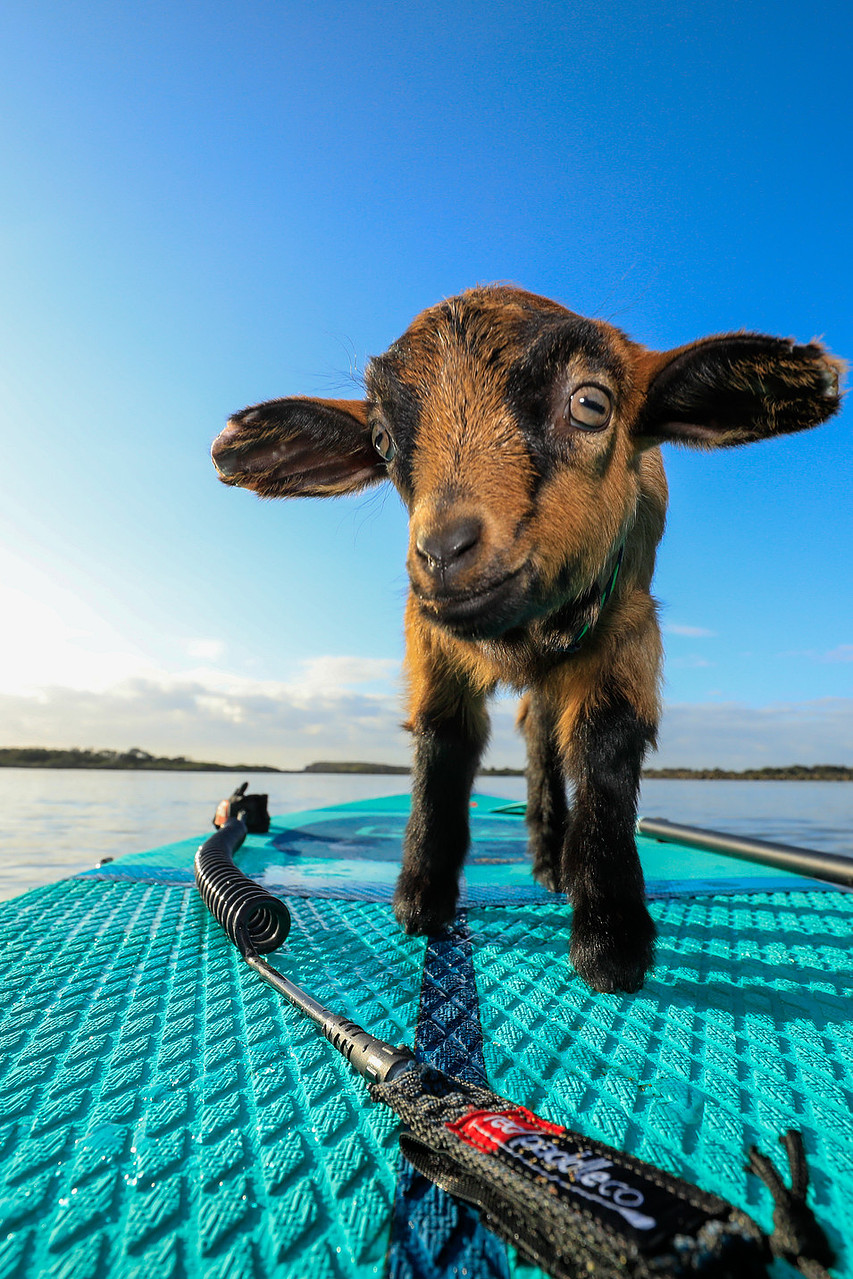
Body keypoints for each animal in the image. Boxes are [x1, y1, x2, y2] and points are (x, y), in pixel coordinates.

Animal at [211, 286, 843, 993]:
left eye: (592, 404)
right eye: (381, 439)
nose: (444, 551)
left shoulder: (630, 624)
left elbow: (604, 749)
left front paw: (610, 937)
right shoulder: (427, 633)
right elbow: (443, 743)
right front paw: (422, 896)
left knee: (546, 737)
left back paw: (552, 857)